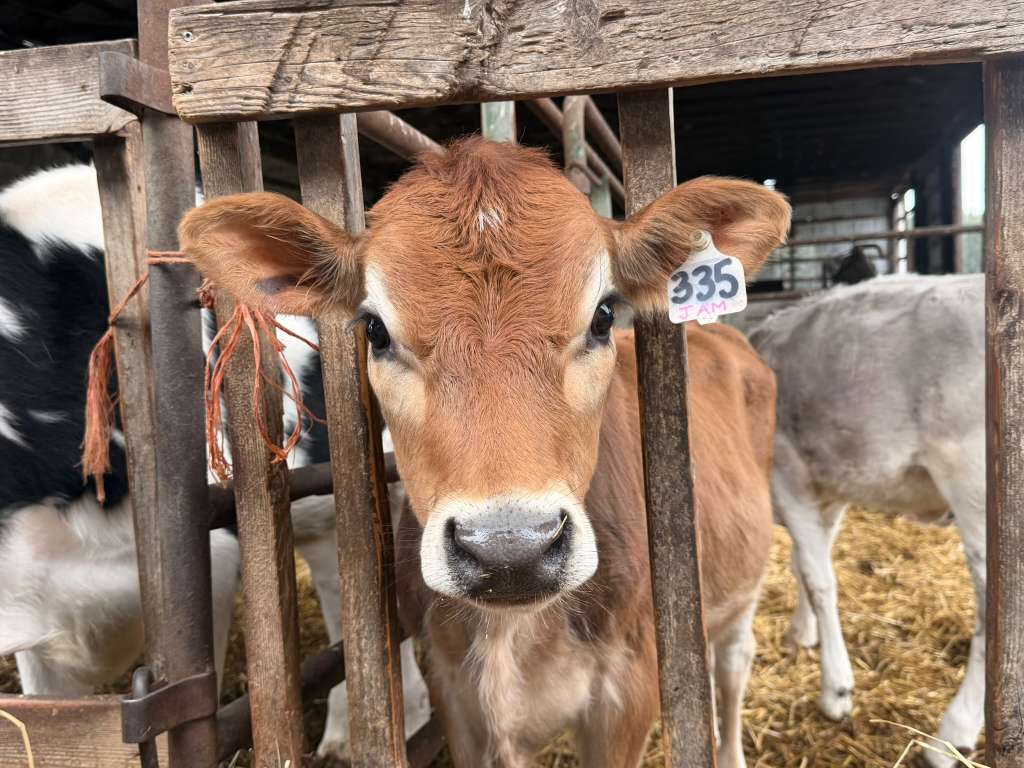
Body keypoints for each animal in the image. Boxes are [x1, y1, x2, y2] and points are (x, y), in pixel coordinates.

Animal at [180, 137, 790, 767]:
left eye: (602, 316)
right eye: (375, 329)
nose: (510, 551)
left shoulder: (629, 693)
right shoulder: (458, 698)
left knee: (733, 665)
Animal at [749, 274, 985, 767]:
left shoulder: (788, 475)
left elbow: (819, 580)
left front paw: (835, 689)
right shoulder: (832, 485)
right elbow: (804, 566)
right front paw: (801, 632)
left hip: (972, 483)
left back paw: (950, 736)